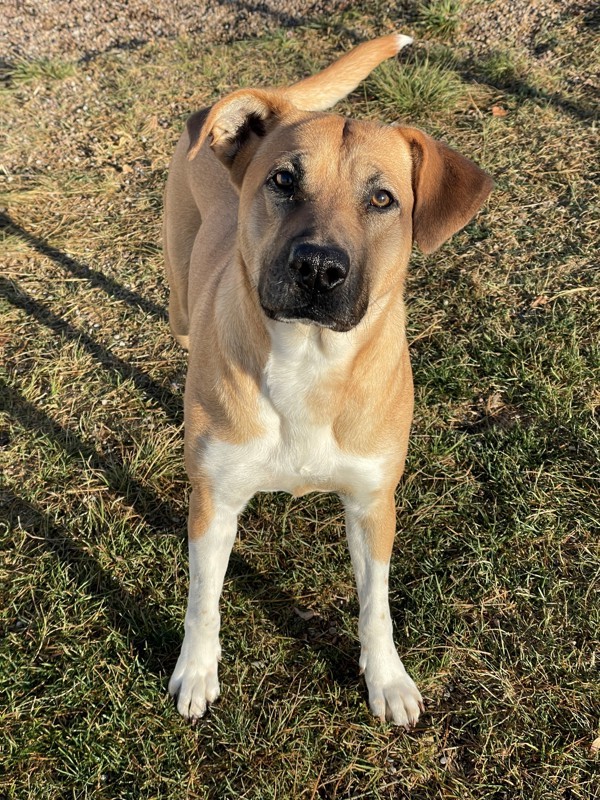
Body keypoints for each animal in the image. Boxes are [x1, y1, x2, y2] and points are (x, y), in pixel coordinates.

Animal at [163, 36, 492, 724]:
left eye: (383, 199)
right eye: (284, 180)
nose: (317, 268)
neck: (308, 365)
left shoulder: (373, 502)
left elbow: (376, 607)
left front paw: (387, 679)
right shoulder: (215, 502)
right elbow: (204, 599)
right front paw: (197, 670)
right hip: (179, 299)